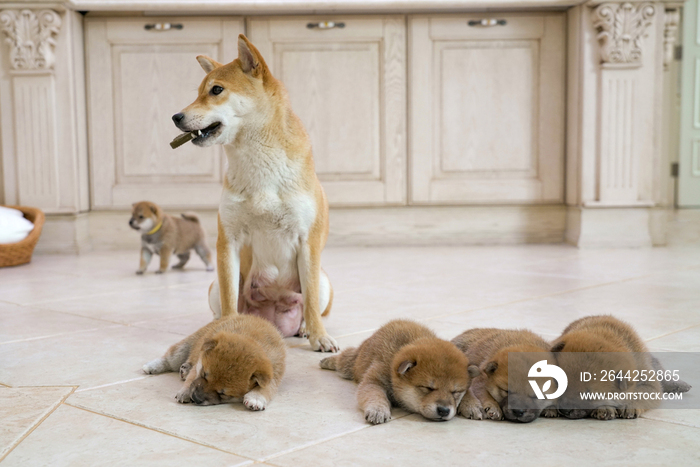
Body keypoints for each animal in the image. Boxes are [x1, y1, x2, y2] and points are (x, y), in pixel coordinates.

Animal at [144, 314, 286, 414]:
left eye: (223, 394)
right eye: (204, 375)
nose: (195, 398)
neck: (252, 338)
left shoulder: (274, 376)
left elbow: (266, 388)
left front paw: (256, 397)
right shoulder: (199, 363)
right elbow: (191, 379)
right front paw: (184, 392)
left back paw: (184, 369)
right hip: (184, 348)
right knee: (168, 359)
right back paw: (152, 366)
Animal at [170, 34, 336, 352]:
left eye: (216, 90)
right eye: (198, 93)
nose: (176, 116)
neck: (259, 166)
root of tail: (273, 321)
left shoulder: (308, 242)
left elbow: (309, 303)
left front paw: (319, 337)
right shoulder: (228, 242)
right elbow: (229, 300)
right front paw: (225, 331)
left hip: (323, 280)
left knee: (311, 306)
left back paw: (306, 329)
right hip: (214, 287)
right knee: (221, 305)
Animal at [318, 322, 474, 424]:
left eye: (455, 392)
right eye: (428, 388)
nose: (444, 410)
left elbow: (469, 391)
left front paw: (471, 404)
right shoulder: (375, 380)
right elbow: (375, 395)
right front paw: (378, 410)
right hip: (352, 364)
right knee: (346, 356)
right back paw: (327, 360)